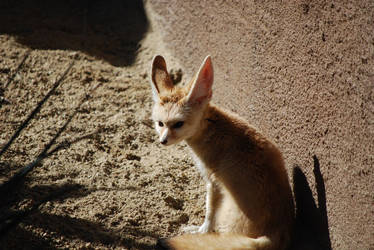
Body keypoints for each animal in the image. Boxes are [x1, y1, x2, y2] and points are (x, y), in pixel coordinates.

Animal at [150, 55, 294, 250]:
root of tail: (274, 234)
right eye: (160, 124)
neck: (212, 126)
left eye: (178, 124)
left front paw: (201, 231)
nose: (162, 141)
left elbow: (209, 212)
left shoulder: (212, 180)